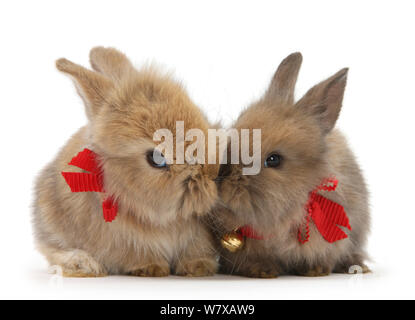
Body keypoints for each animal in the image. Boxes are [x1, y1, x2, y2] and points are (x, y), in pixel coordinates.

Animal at [33, 47, 221, 278]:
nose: (212, 174)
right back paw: (84, 264)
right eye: (156, 158)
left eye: (202, 117)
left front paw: (199, 268)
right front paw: (152, 268)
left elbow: (195, 253)